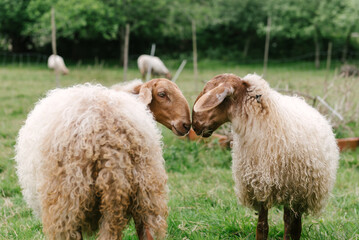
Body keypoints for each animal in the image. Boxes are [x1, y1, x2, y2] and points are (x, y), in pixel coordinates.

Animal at [15, 79, 193, 239]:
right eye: (162, 94)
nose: (186, 125)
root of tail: (108, 133)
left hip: (68, 199)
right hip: (145, 190)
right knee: (145, 232)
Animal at [193, 73, 338, 240]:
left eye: (211, 94)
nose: (194, 125)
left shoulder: (291, 190)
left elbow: (291, 227)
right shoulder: (259, 186)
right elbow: (262, 226)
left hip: (299, 191)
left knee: (293, 224)